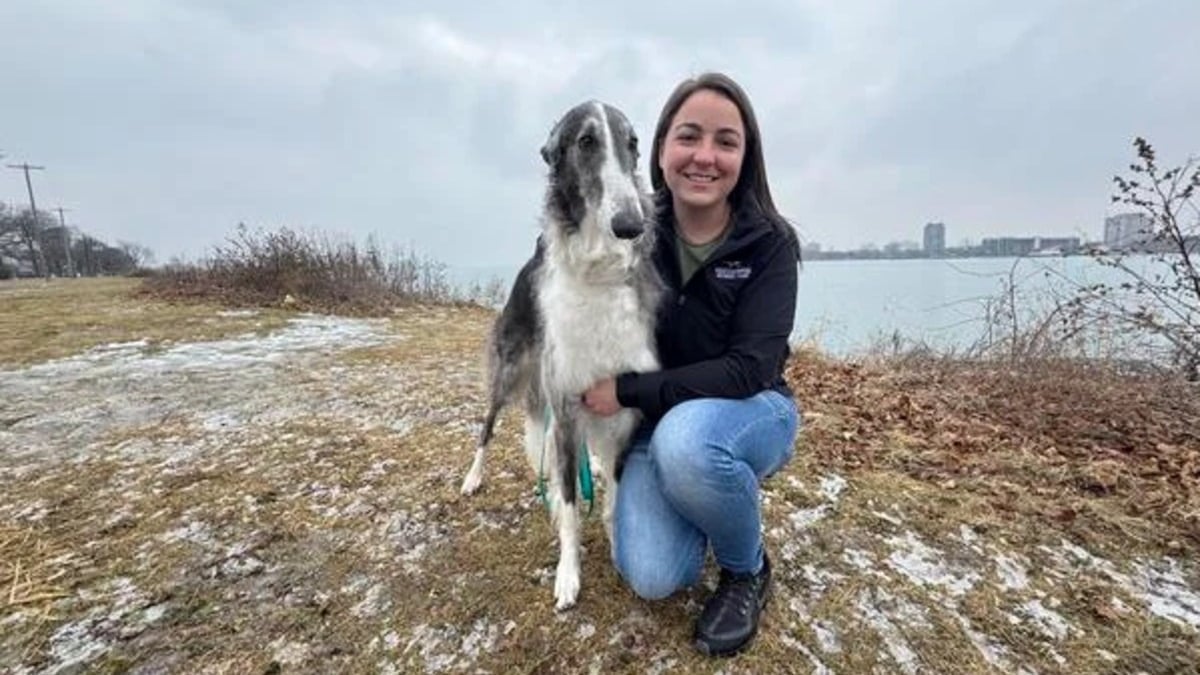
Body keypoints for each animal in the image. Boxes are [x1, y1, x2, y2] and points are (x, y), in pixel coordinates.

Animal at [460, 99, 667, 610]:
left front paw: (615, 542)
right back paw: (473, 477)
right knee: (488, 429)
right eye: (586, 141)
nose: (631, 225)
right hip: (509, 370)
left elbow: (613, 496)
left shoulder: (623, 407)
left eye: (633, 143)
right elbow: (572, 505)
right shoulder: (567, 406)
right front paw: (569, 574)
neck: (598, 272)